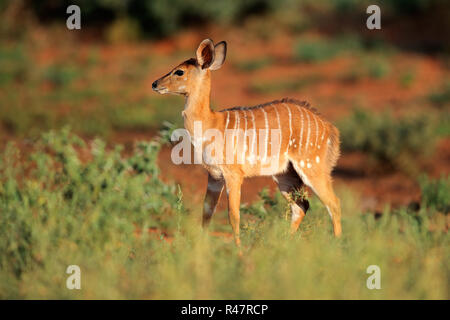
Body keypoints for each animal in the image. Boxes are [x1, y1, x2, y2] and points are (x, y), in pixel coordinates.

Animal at [151, 38, 342, 246]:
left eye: (179, 71)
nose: (154, 83)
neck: (211, 122)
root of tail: (330, 129)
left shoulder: (234, 174)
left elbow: (233, 215)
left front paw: (239, 251)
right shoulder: (214, 176)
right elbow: (207, 214)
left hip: (312, 167)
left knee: (333, 204)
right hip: (284, 174)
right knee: (301, 206)